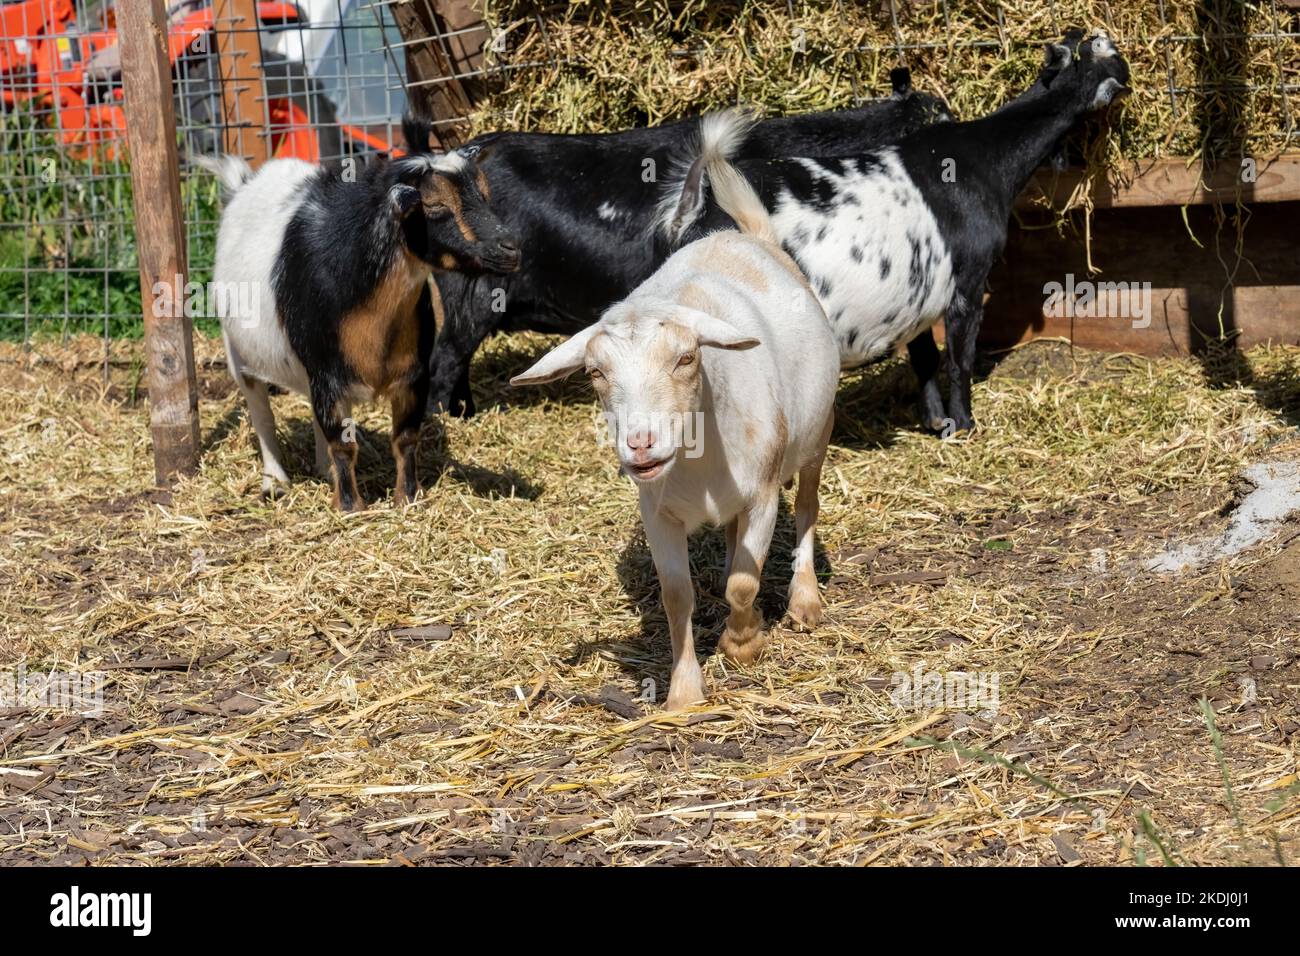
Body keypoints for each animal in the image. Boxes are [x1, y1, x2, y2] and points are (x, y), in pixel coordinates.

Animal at [197, 147, 520, 510]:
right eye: (434, 204)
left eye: (485, 194)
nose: (511, 248)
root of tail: (244, 184)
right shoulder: (327, 373)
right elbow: (342, 444)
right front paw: (350, 508)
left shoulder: (413, 374)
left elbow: (405, 439)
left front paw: (407, 498)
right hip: (239, 354)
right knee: (261, 413)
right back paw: (275, 483)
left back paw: (323, 471)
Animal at [510, 115, 840, 709]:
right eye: (594, 372)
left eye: (687, 358)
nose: (641, 443)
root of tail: (750, 236)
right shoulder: (657, 512)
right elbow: (677, 596)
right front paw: (684, 693)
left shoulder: (761, 495)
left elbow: (743, 582)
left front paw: (742, 643)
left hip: (817, 434)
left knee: (806, 508)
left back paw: (804, 600)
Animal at [665, 32, 1129, 434]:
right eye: (1111, 55)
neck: (984, 157)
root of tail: (701, 207)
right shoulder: (967, 281)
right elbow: (960, 358)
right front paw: (964, 424)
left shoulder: (918, 291)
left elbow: (924, 358)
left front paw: (935, 420)